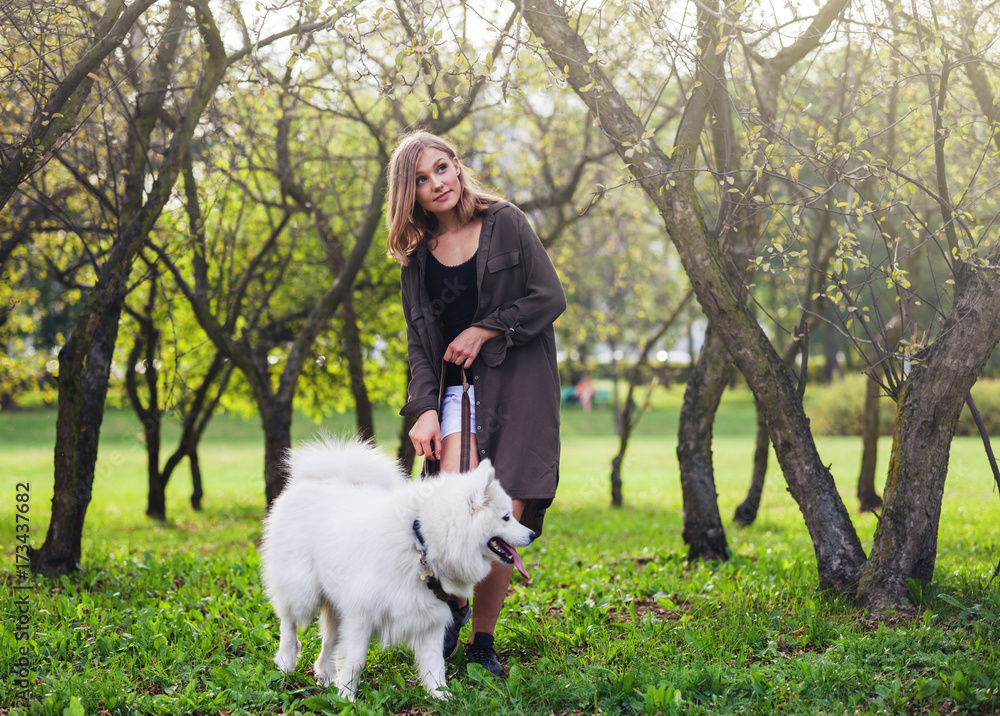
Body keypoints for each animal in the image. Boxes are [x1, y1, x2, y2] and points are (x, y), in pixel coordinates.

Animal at [262, 436, 536, 700]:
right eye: (506, 518)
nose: (533, 534)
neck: (421, 541)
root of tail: (318, 479)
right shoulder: (361, 614)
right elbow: (354, 661)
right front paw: (347, 698)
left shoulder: (431, 618)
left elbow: (435, 665)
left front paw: (443, 697)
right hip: (303, 591)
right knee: (289, 622)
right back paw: (286, 662)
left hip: (334, 601)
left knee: (329, 640)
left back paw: (325, 675)